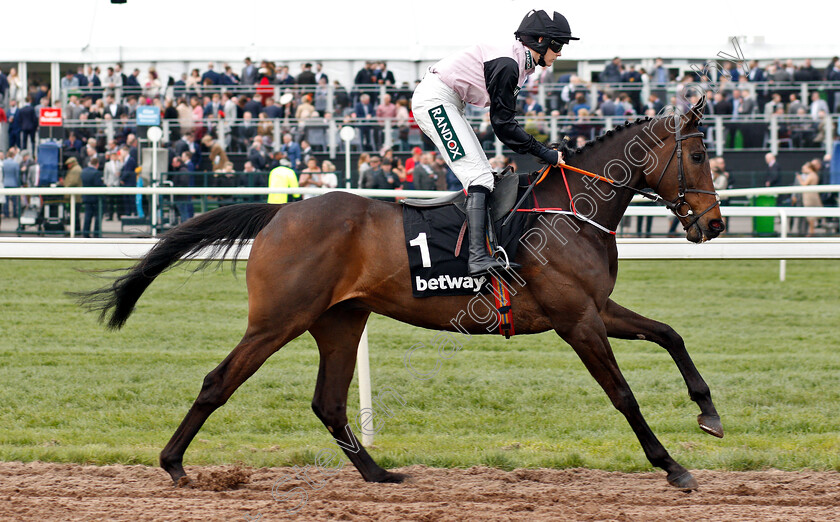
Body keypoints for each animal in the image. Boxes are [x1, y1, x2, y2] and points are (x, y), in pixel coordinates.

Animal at [83, 99, 728, 490]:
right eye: (698, 155)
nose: (714, 224)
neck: (569, 212)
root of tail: (278, 215)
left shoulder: (597, 309)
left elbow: (670, 335)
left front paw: (709, 413)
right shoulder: (577, 320)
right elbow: (623, 394)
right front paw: (672, 467)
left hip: (340, 321)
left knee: (328, 402)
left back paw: (378, 474)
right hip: (277, 320)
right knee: (219, 382)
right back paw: (173, 464)